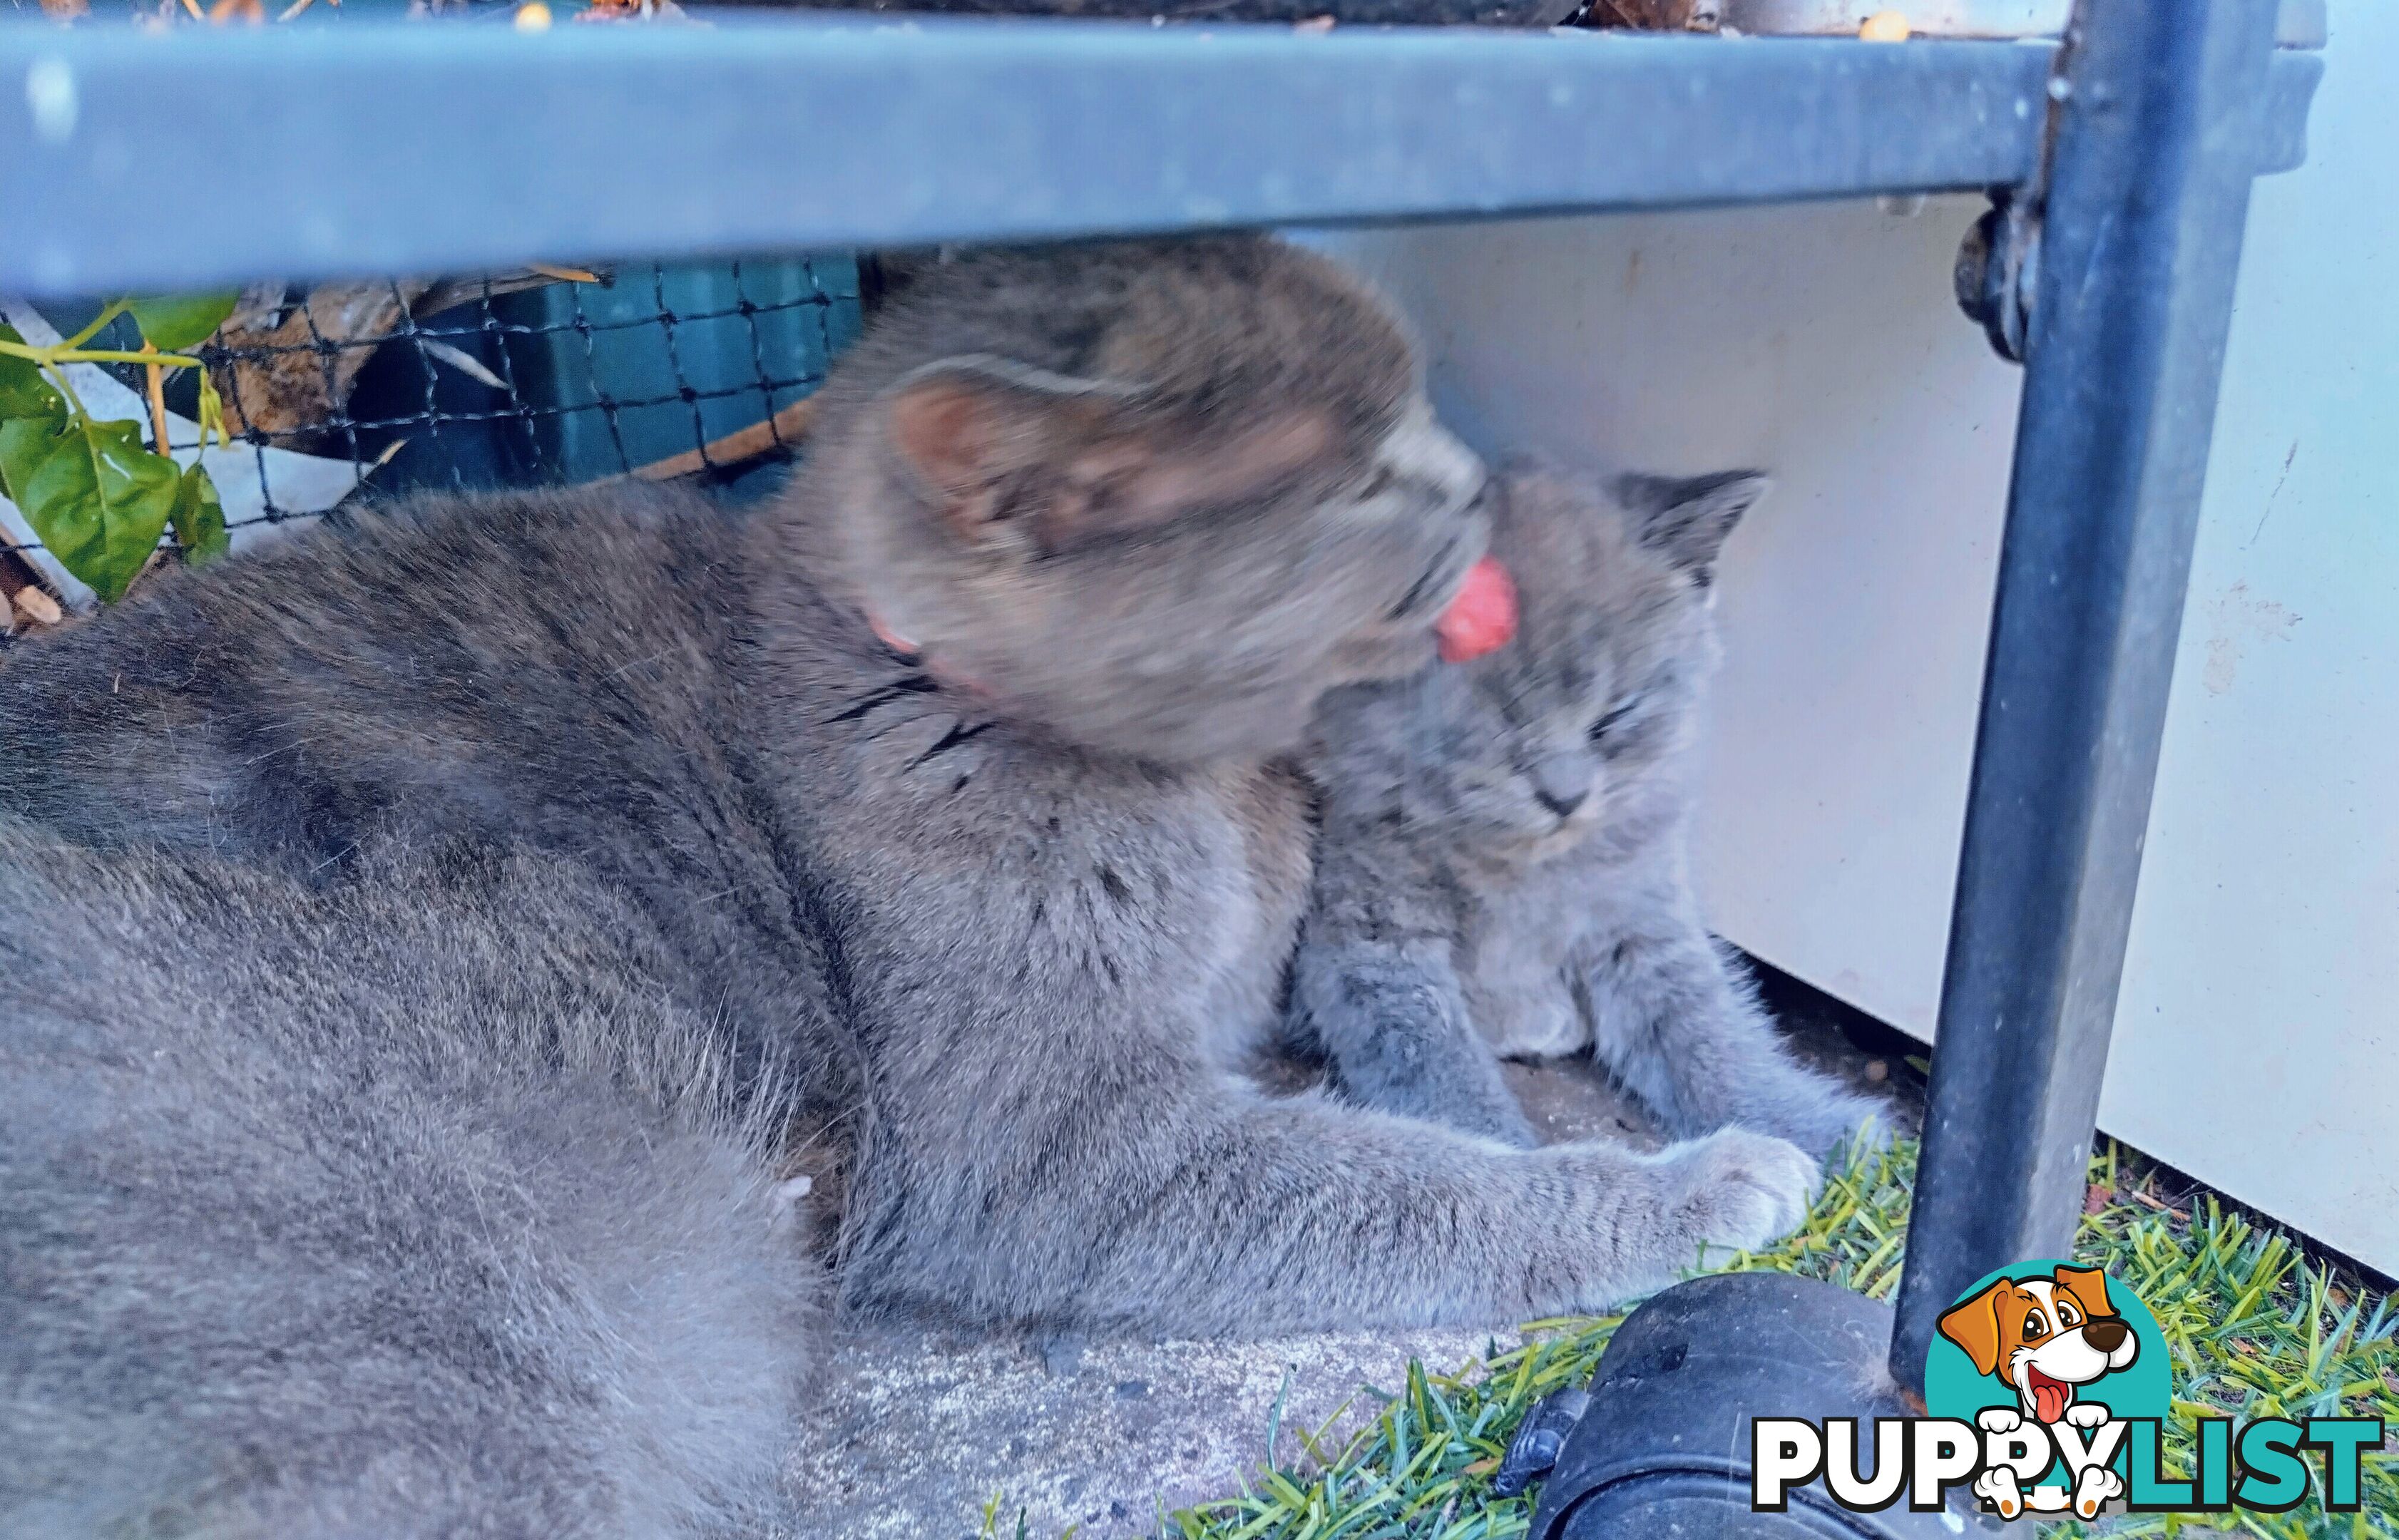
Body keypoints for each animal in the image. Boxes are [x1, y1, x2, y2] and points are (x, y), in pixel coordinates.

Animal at [1305, 460, 1881, 1156]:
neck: (1523, 869)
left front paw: (1826, 1134)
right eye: (1505, 723)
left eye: (1614, 717)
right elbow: (1433, 1068)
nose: (1566, 797)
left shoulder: (1644, 918)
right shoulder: (1370, 940)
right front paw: (1506, 1152)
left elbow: (1712, 1032)